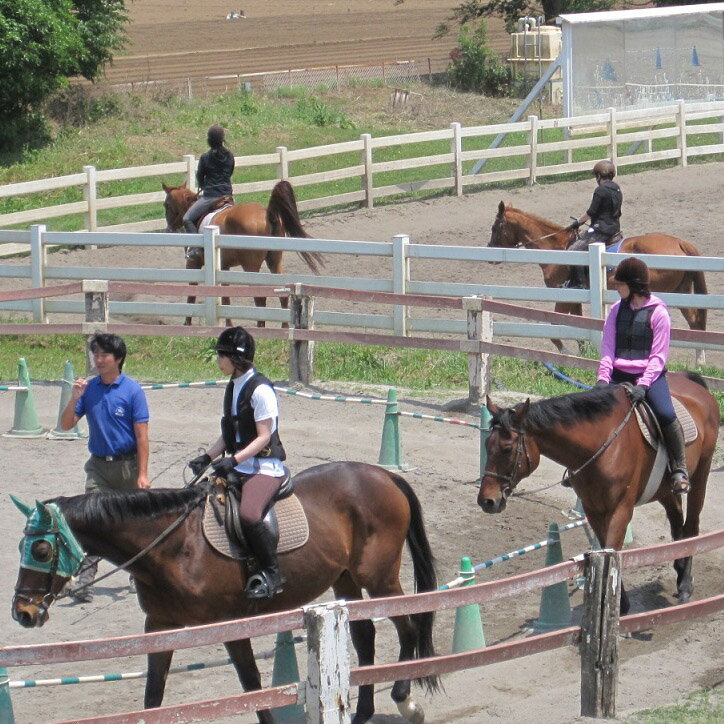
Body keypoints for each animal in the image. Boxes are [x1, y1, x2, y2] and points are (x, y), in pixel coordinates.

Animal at [164, 181, 326, 328]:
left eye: (166, 205)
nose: (169, 229)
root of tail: (268, 215)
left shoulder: (193, 263)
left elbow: (192, 292)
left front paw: (187, 323)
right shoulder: (224, 268)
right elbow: (225, 297)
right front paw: (228, 324)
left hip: (251, 267)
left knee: (260, 299)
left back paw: (261, 327)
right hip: (275, 261)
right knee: (282, 296)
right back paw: (284, 327)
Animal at [476, 370, 720, 612]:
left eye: (507, 449)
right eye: (487, 444)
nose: (486, 501)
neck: (603, 444)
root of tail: (694, 384)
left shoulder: (621, 509)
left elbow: (612, 549)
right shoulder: (593, 508)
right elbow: (604, 551)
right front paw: (619, 602)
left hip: (701, 473)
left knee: (691, 525)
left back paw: (685, 585)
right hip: (663, 489)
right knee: (677, 521)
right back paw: (680, 569)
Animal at [486, 201, 708, 362]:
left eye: (495, 227)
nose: (490, 254)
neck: (557, 249)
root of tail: (680, 242)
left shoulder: (564, 294)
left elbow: (555, 327)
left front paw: (567, 353)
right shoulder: (575, 297)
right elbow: (577, 324)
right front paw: (584, 352)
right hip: (681, 292)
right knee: (695, 322)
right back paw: (700, 361)